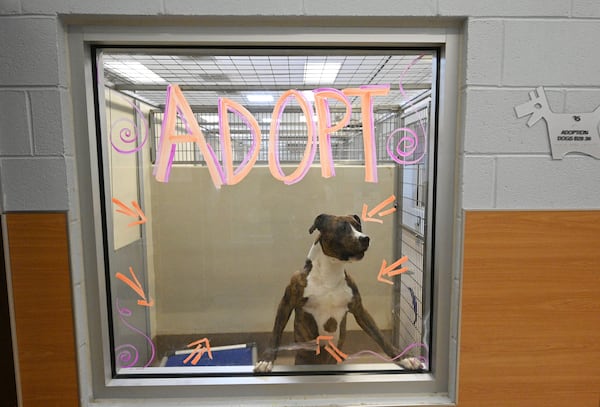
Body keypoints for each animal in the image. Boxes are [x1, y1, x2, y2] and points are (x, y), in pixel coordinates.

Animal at [253, 215, 422, 374]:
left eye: (358, 226)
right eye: (342, 228)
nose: (365, 238)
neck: (330, 273)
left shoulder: (360, 310)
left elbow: (380, 337)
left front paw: (405, 358)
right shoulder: (286, 303)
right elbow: (275, 333)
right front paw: (266, 360)